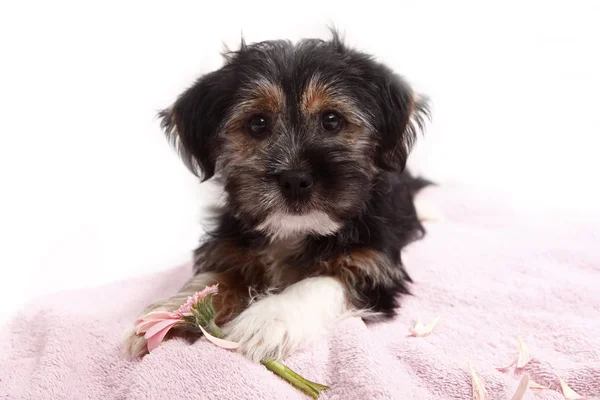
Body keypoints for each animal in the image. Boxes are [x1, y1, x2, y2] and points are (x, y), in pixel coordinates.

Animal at [123, 32, 432, 362]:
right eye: (257, 123)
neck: (295, 231)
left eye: (332, 120)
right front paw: (167, 314)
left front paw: (268, 319)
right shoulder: (230, 251)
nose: (294, 179)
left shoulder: (373, 268)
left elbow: (319, 282)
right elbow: (210, 282)